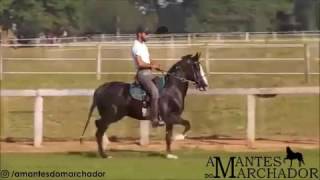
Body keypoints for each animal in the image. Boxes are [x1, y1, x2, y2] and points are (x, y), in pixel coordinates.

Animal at [80, 52, 209, 159]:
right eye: (197, 66)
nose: (205, 84)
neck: (172, 89)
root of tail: (101, 89)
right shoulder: (170, 117)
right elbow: (187, 124)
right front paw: (179, 137)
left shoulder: (170, 120)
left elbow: (168, 136)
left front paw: (169, 154)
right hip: (112, 115)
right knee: (99, 128)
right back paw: (104, 154)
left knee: (99, 126)